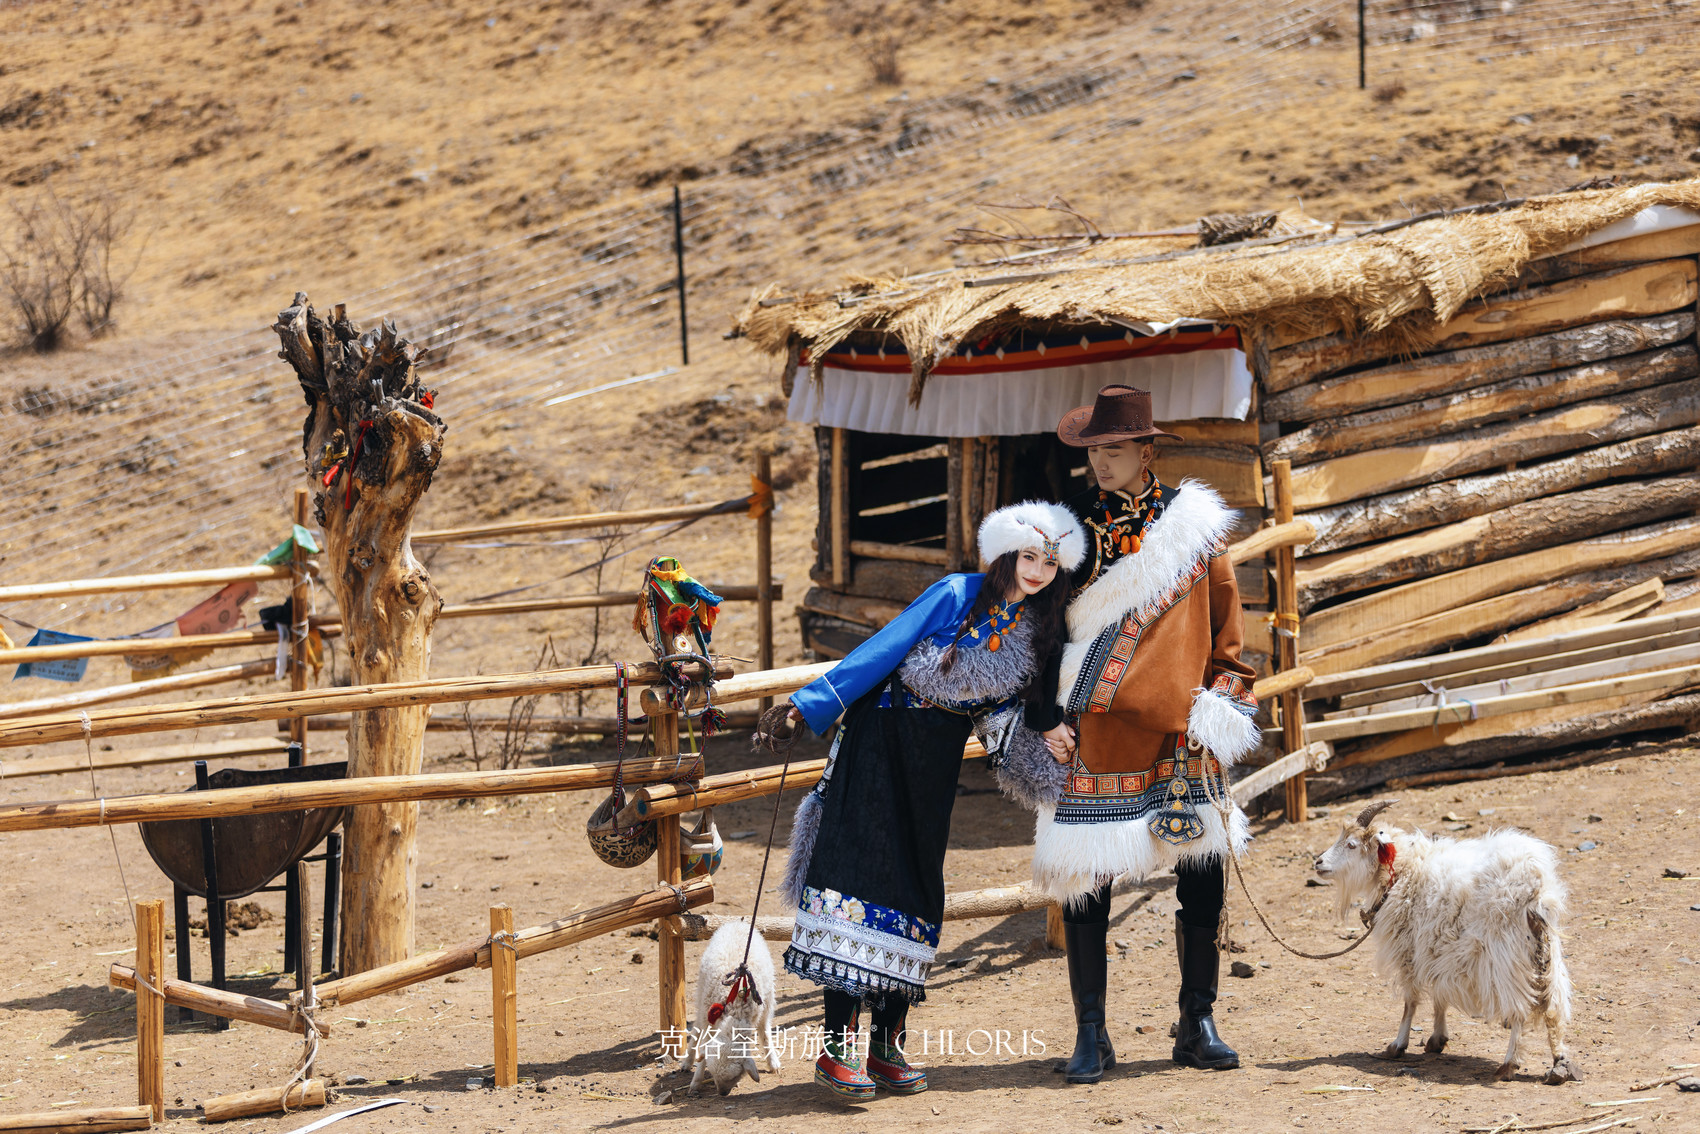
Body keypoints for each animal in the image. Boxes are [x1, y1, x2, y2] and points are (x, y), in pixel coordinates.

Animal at [676, 924, 782, 1101]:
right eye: (712, 1074)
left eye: (735, 1076)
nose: (722, 1093)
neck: (736, 1011)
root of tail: (738, 922)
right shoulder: (709, 1016)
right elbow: (703, 1050)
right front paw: (695, 1083)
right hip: (702, 999)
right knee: (697, 1028)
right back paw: (687, 1062)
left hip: (767, 999)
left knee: (764, 1029)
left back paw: (773, 1061)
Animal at [1312, 799, 1577, 1081]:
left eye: (1351, 844)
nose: (1318, 862)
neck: (1402, 873)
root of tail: (1537, 889)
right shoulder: (1436, 948)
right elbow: (1440, 992)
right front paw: (1437, 1039)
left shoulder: (1409, 950)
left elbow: (1410, 1001)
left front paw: (1397, 1045)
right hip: (1546, 951)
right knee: (1554, 1004)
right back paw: (1560, 1061)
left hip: (1506, 956)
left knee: (1519, 1006)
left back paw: (1509, 1064)